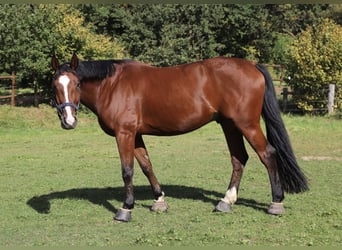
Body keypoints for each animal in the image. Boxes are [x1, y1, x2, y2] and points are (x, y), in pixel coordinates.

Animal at [51, 54, 310, 223]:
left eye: (77, 83)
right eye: (54, 85)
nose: (68, 121)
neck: (113, 85)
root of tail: (253, 66)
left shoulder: (124, 133)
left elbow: (128, 170)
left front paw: (126, 209)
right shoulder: (136, 135)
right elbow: (146, 166)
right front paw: (159, 201)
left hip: (247, 125)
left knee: (267, 154)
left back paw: (276, 203)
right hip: (230, 125)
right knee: (239, 159)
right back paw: (226, 201)